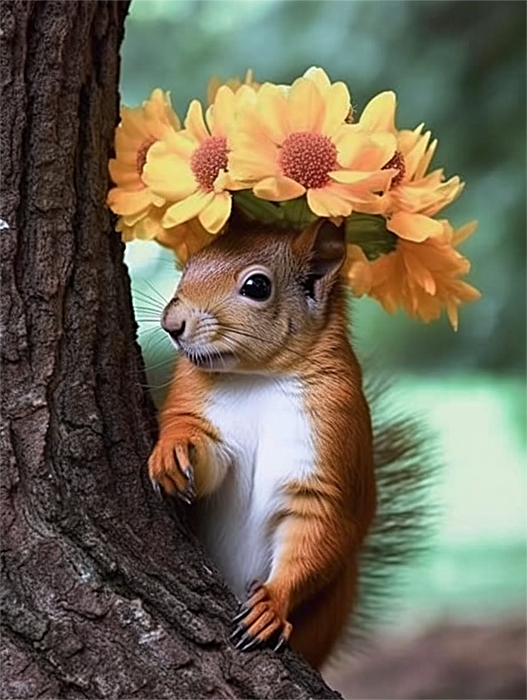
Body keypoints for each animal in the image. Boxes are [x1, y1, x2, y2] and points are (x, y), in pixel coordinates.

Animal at [148, 216, 430, 669]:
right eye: (188, 266)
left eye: (257, 286)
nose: (172, 324)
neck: (257, 379)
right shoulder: (195, 403)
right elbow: (204, 455)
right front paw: (172, 452)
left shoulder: (330, 439)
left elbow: (318, 528)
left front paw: (271, 605)